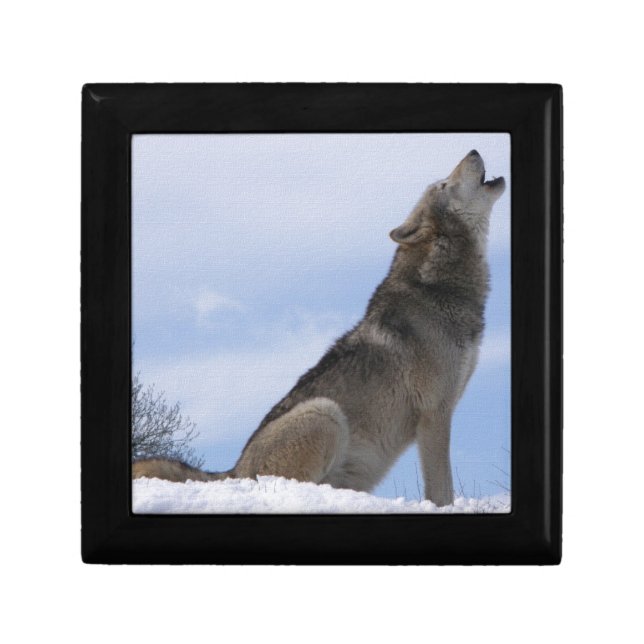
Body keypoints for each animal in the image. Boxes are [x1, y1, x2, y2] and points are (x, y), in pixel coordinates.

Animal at [133, 150, 505, 506]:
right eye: (444, 184)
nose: (473, 149)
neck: (439, 286)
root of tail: (233, 471)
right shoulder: (434, 413)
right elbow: (442, 489)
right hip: (325, 412)